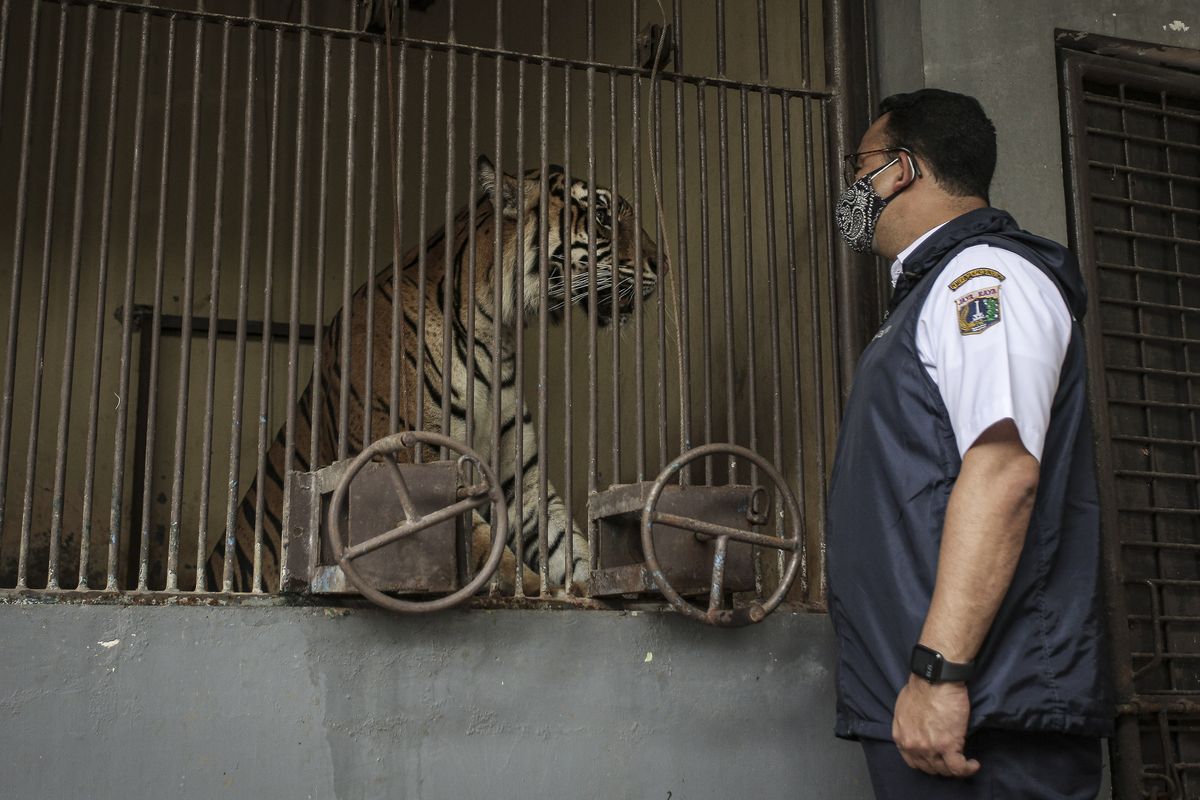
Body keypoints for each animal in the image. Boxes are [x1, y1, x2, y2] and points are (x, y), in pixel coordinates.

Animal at [205, 155, 657, 594]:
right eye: (601, 216)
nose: (664, 263)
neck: (496, 328)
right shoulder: (412, 457)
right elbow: (477, 540)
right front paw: (530, 587)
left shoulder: (521, 480)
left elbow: (564, 541)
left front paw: (587, 586)